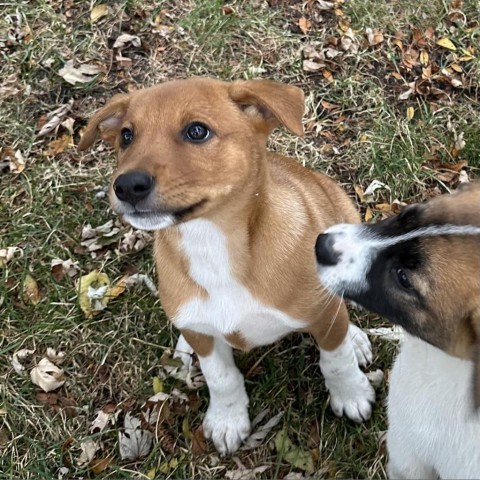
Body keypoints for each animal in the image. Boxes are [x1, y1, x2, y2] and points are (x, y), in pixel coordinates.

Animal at [79, 78, 376, 454]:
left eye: (197, 131)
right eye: (127, 136)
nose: (127, 185)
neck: (213, 245)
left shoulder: (323, 315)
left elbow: (335, 360)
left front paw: (351, 394)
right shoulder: (208, 341)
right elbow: (221, 377)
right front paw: (227, 419)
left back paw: (355, 338)